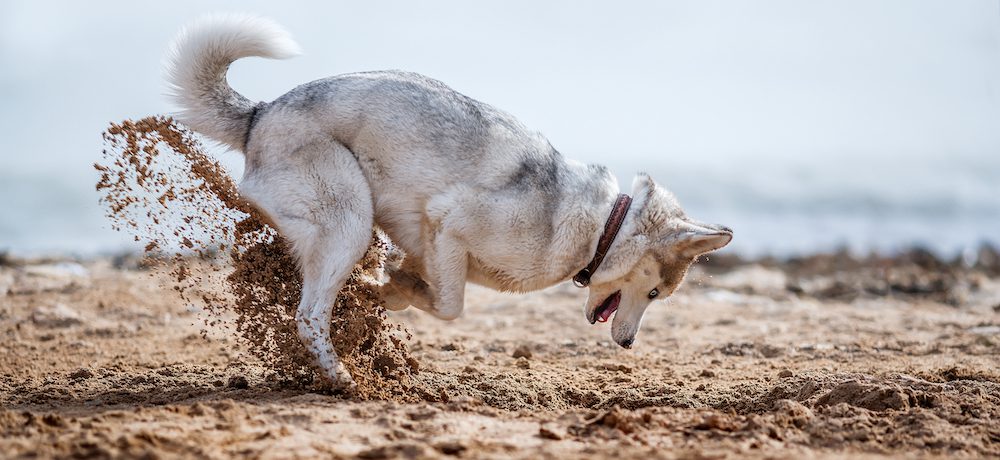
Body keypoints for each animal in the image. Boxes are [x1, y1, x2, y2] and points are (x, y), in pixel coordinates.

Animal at [166, 13, 736, 380]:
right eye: (656, 293)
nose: (629, 344)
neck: (603, 228)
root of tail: (261, 113)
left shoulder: (430, 244)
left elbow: (422, 289)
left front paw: (388, 288)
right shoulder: (448, 221)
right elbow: (449, 307)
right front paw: (384, 290)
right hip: (350, 222)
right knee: (308, 317)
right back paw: (340, 377)